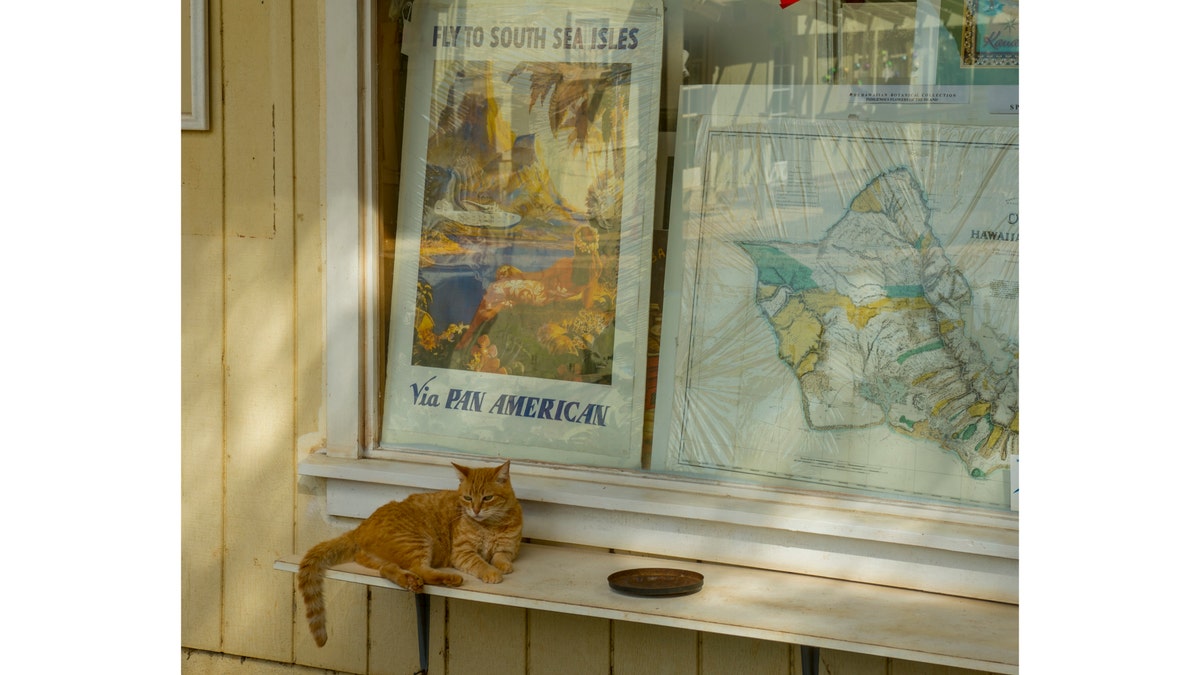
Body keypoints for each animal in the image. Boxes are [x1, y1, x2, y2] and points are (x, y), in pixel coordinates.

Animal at [296, 458, 520, 643]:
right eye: (467, 498)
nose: (475, 510)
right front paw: (491, 572)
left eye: (487, 498)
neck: (491, 525)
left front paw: (503, 566)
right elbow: (480, 562)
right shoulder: (462, 553)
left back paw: (409, 581)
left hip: (386, 557)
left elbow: (501, 555)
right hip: (417, 541)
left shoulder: (510, 547)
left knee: (387, 569)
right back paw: (449, 578)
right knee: (421, 569)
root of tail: (360, 527)